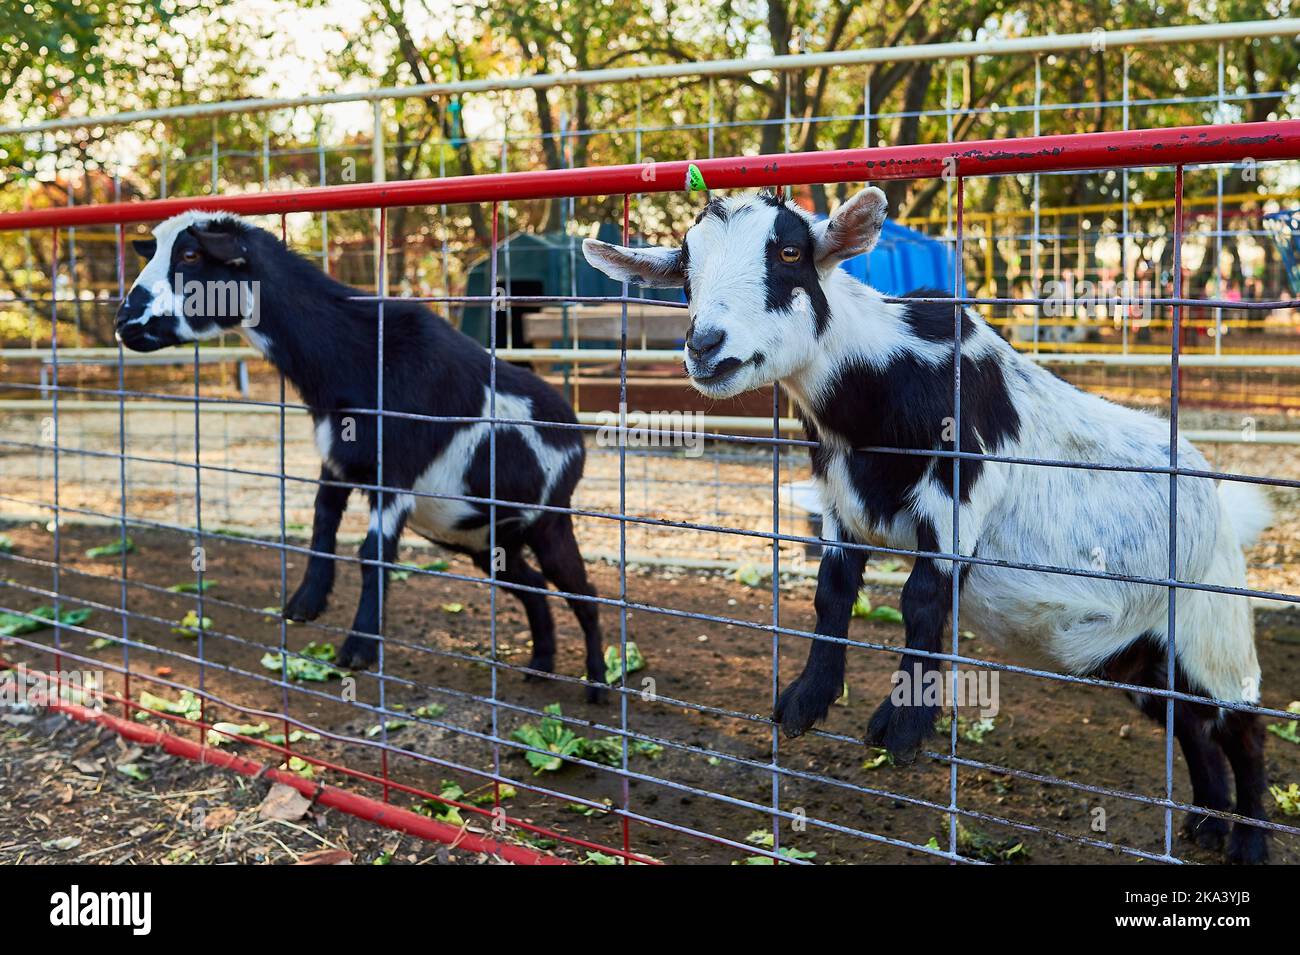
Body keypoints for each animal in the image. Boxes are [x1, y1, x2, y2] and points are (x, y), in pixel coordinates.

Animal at [115, 213, 603, 696]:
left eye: (190, 255)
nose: (124, 321)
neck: (358, 359)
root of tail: (574, 433)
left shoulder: (396, 474)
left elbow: (373, 555)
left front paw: (359, 648)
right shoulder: (337, 461)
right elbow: (321, 526)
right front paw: (305, 604)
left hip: (551, 520)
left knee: (585, 592)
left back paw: (597, 684)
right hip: (487, 540)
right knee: (534, 586)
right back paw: (540, 664)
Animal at [585, 191, 1274, 862]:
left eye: (789, 252)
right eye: (685, 270)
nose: (705, 346)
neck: (882, 382)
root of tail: (1222, 504)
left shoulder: (957, 496)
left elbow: (921, 597)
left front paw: (903, 728)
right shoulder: (840, 504)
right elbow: (832, 593)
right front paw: (806, 699)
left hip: (1214, 622)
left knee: (1241, 725)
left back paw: (1249, 841)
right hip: (1138, 652)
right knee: (1189, 721)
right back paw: (1206, 823)